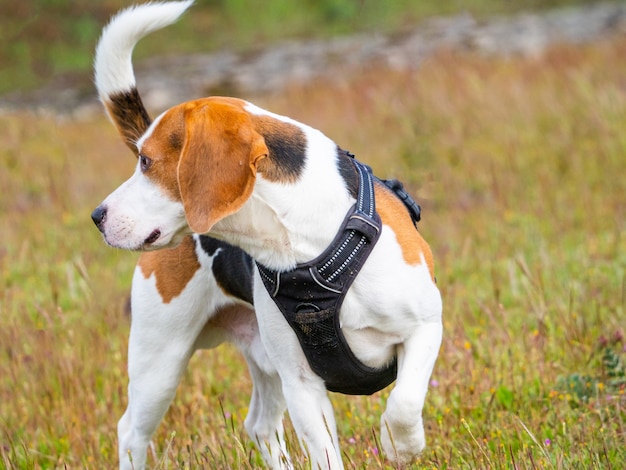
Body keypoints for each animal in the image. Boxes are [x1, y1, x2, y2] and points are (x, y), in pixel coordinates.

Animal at [92, 1, 442, 468]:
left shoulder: (426, 326)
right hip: (160, 360)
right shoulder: (302, 383)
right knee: (131, 431)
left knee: (258, 425)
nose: (97, 216)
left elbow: (403, 403)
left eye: (146, 162)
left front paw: (399, 443)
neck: (307, 245)